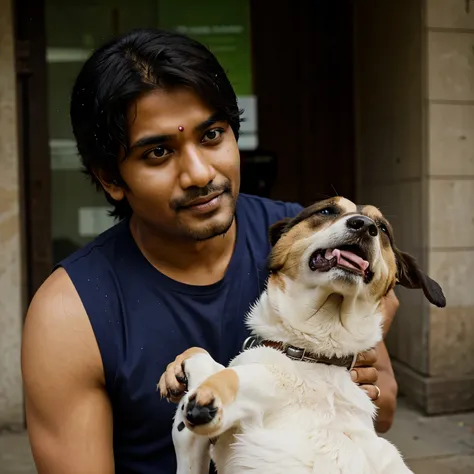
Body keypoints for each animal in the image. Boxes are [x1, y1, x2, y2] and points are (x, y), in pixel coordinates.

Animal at [158, 197, 444, 474]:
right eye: (327, 210)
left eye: (383, 228)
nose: (364, 225)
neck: (316, 353)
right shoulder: (196, 440)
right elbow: (208, 360)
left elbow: (225, 374)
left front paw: (204, 396)